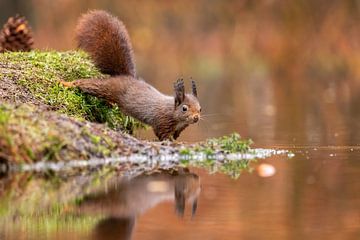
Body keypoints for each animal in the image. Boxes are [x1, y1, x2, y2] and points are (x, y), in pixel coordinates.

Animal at [62, 10, 202, 140]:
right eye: (184, 108)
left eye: (200, 109)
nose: (196, 117)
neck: (173, 113)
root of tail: (125, 76)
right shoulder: (162, 121)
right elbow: (162, 135)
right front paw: (170, 141)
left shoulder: (179, 128)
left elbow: (176, 135)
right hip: (111, 88)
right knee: (89, 84)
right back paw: (66, 83)